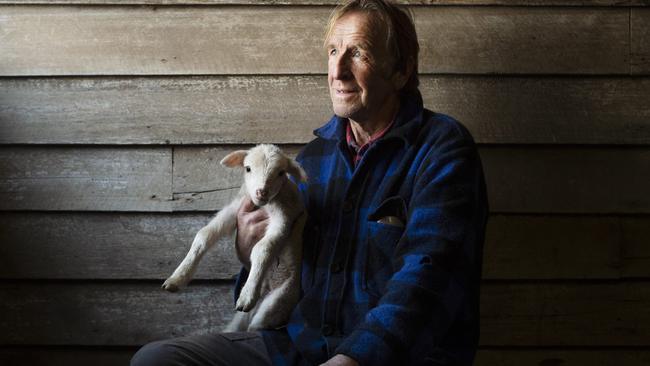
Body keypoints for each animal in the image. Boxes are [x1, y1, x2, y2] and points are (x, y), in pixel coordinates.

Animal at [161, 144, 306, 332]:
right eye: (248, 168)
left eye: (281, 173)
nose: (261, 192)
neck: (263, 205)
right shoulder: (235, 209)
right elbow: (204, 234)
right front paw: (177, 278)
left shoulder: (283, 218)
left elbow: (262, 249)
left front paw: (247, 295)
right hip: (243, 318)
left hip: (277, 303)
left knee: (256, 327)